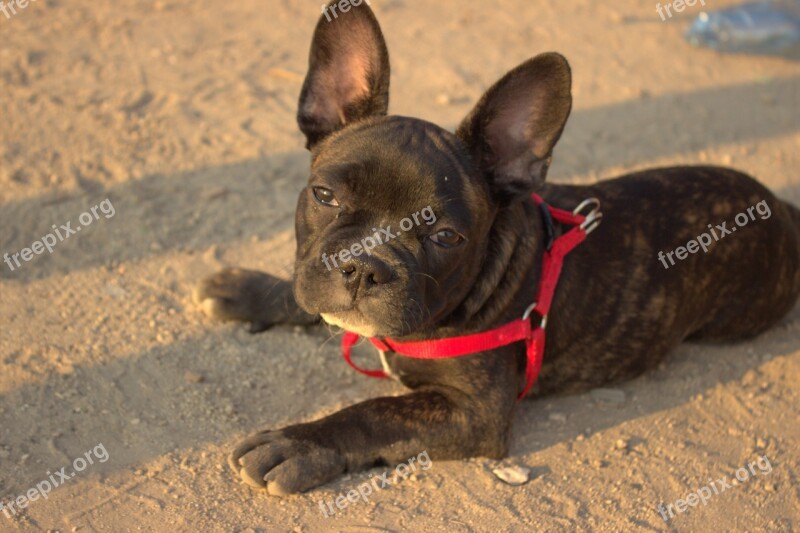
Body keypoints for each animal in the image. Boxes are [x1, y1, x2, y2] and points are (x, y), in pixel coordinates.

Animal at [195, 2, 800, 496]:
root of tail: (779, 206)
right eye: (324, 196)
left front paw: (298, 444)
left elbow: (375, 411)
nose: (365, 266)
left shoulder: (474, 413)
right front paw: (249, 289)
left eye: (446, 238)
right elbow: (303, 292)